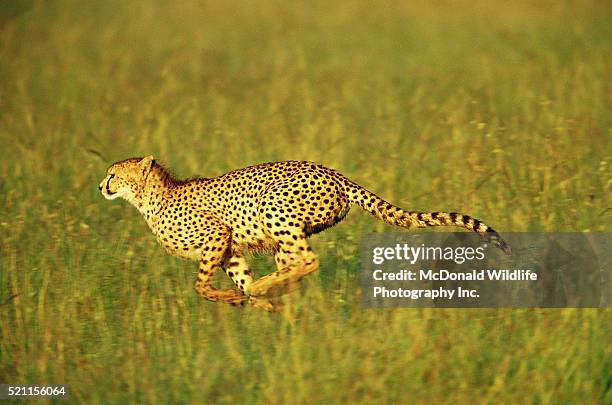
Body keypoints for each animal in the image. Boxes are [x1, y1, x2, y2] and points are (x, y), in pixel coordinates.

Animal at [99, 156, 512, 310]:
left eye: (114, 173)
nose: (101, 185)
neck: (151, 198)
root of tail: (335, 173)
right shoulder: (230, 248)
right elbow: (238, 277)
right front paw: (256, 301)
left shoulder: (217, 236)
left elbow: (200, 285)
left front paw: (237, 297)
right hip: (284, 233)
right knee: (295, 263)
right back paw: (273, 290)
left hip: (272, 209)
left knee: (310, 260)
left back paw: (269, 287)